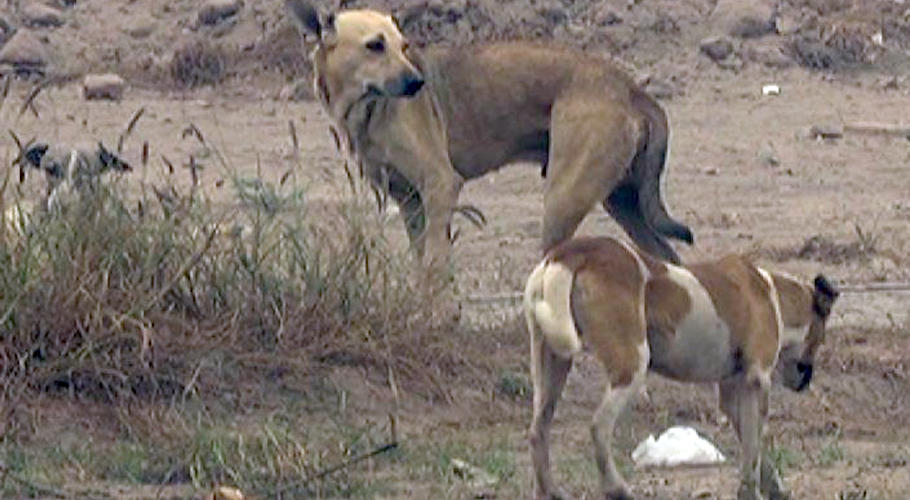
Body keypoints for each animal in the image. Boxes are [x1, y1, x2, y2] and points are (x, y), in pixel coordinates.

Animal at [524, 237, 844, 500]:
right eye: (822, 337)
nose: (806, 380)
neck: (774, 297)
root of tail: (571, 252)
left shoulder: (733, 395)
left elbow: (754, 447)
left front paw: (773, 487)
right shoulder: (757, 382)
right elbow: (753, 450)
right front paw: (751, 491)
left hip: (551, 365)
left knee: (538, 429)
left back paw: (548, 491)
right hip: (632, 363)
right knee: (599, 426)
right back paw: (617, 489)